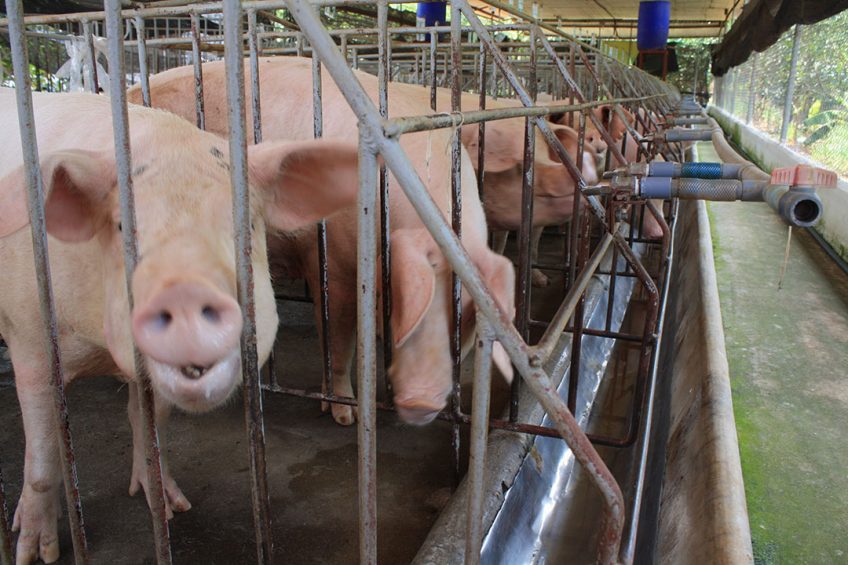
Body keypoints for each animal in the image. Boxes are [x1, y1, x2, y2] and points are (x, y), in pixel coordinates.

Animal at [0, 90, 360, 560]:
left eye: (247, 224)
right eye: (122, 227)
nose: (184, 291)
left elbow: (148, 423)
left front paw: (172, 508)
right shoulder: (29, 337)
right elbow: (42, 456)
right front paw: (36, 554)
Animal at [132, 58, 516, 428]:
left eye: (464, 319)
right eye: (405, 304)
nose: (423, 402)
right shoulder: (330, 261)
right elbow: (338, 340)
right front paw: (346, 416)